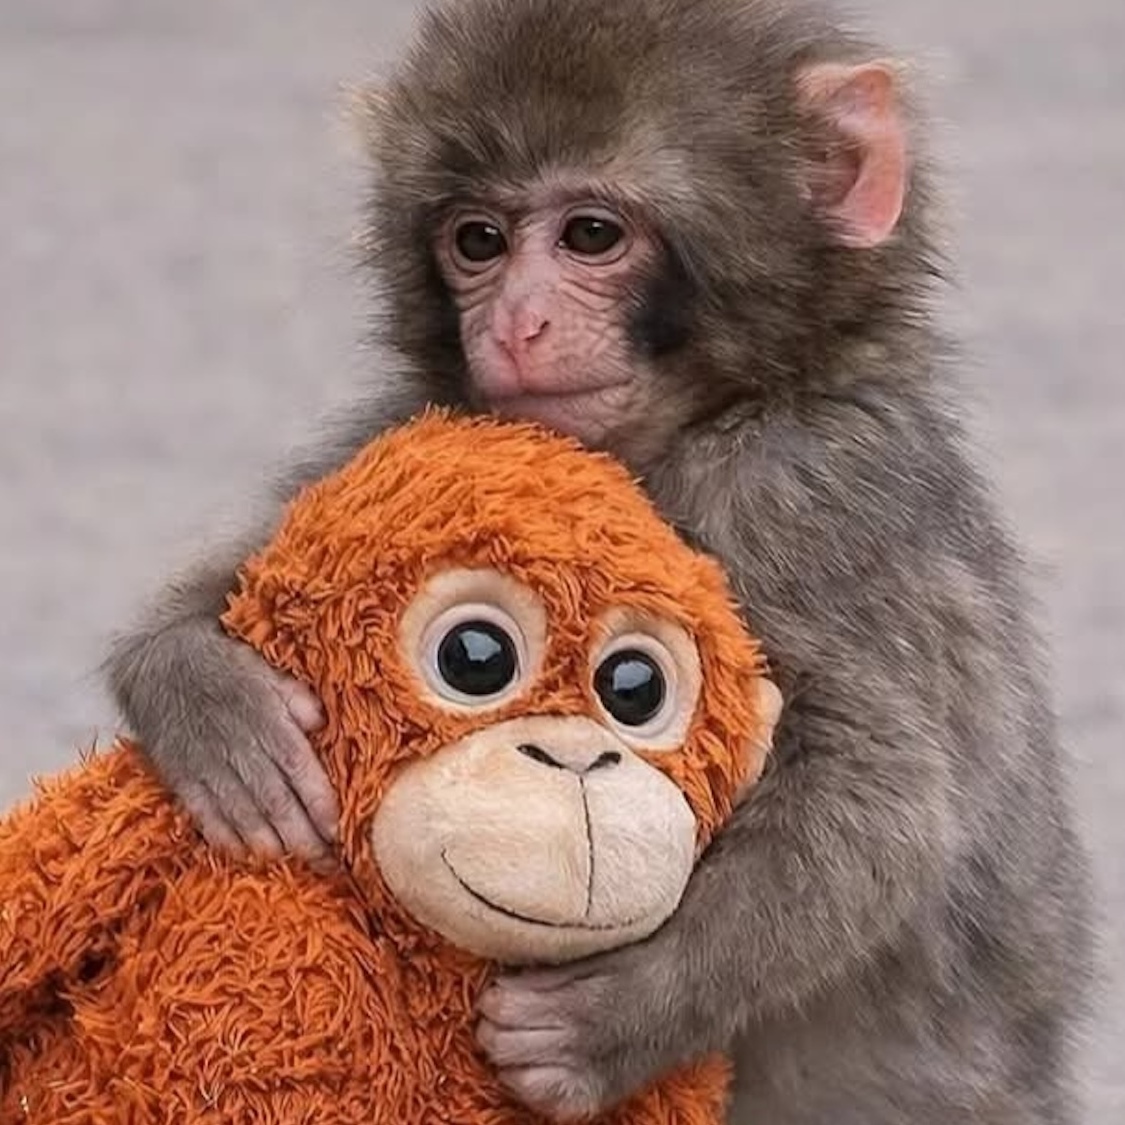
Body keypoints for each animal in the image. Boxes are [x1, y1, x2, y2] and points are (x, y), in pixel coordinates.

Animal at [105, 0, 1094, 1122]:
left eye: (590, 234)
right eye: (477, 241)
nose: (515, 323)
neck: (686, 427)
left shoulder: (807, 494)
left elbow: (884, 797)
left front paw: (608, 1021)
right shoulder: (430, 426)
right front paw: (208, 701)